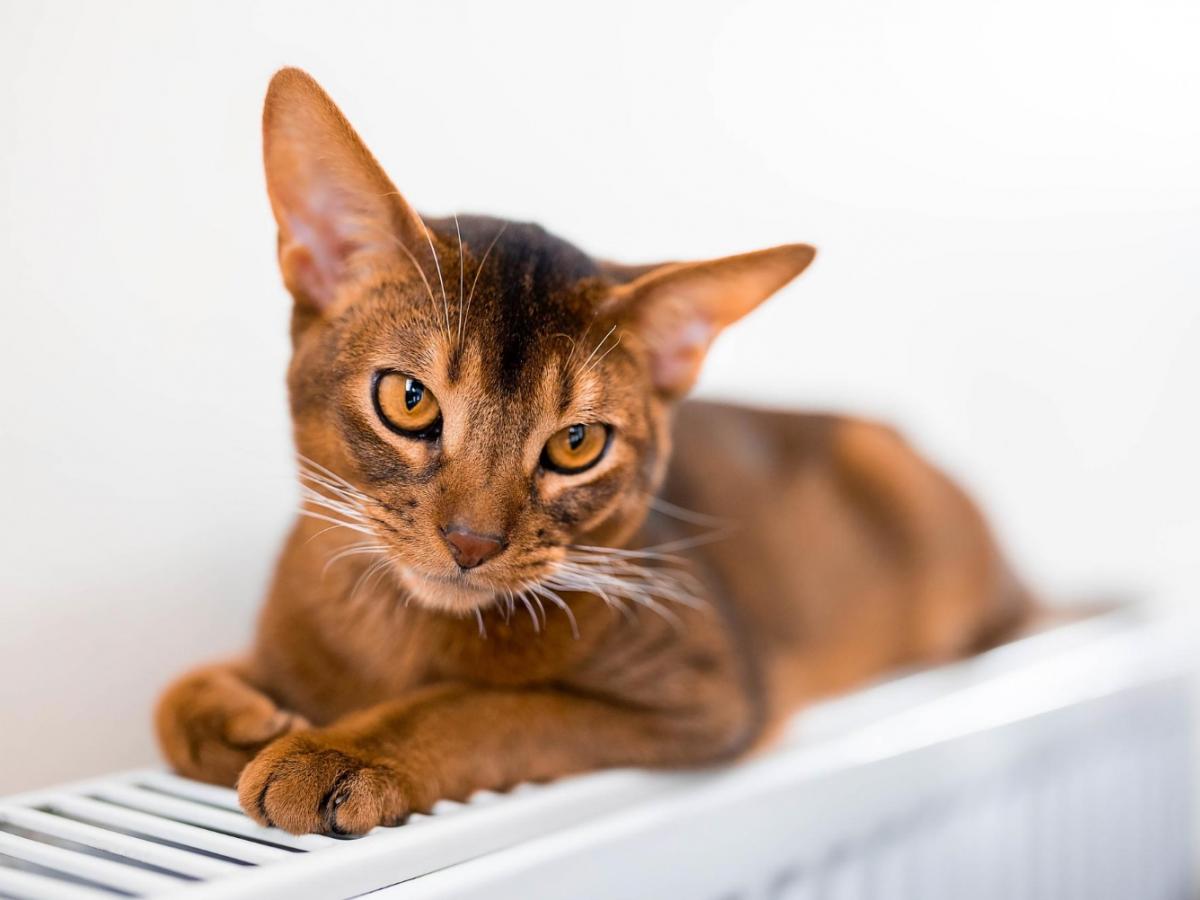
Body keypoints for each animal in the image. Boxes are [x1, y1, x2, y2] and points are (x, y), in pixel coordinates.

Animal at [155, 68, 1032, 836]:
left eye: (577, 443)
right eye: (408, 400)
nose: (471, 543)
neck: (389, 639)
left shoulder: (707, 696)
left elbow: (484, 706)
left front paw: (336, 751)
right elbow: (170, 699)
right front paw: (245, 720)